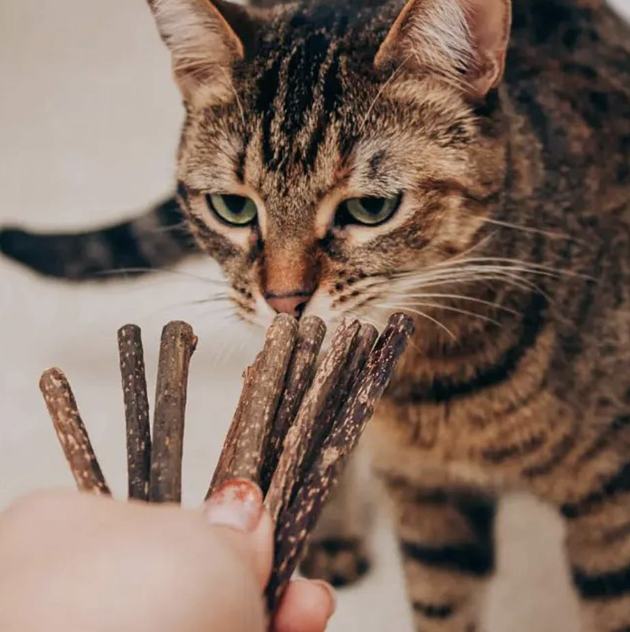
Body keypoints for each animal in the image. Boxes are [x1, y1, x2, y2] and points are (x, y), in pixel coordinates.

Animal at [1, 0, 630, 628]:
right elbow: (439, 602)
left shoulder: (610, 507)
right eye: (232, 207)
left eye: (371, 208)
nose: (283, 299)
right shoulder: (426, 499)